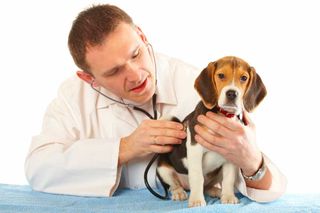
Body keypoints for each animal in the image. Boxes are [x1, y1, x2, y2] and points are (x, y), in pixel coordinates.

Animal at [156, 55, 266, 207]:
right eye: (221, 75)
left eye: (244, 78)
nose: (232, 93)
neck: (223, 114)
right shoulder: (195, 148)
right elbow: (197, 176)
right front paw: (196, 200)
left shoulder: (232, 152)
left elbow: (229, 179)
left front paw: (228, 197)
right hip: (163, 168)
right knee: (174, 184)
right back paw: (179, 192)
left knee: (207, 185)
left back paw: (216, 191)